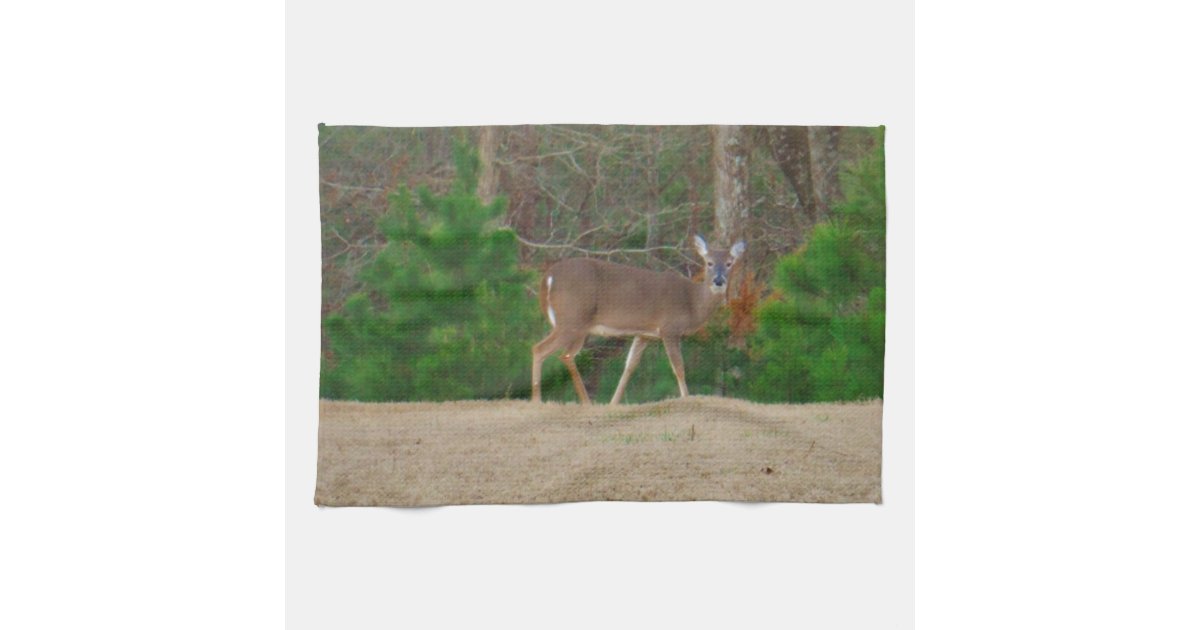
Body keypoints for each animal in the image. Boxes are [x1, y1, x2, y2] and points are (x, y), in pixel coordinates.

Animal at [531, 234, 746, 405]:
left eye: (729, 263)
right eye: (709, 262)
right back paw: (540, 400)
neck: (692, 303)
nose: (718, 281)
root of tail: (548, 277)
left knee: (564, 355)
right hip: (573, 319)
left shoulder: (644, 334)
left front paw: (613, 403)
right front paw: (686, 398)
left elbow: (629, 367)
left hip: (576, 325)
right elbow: (679, 367)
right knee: (542, 349)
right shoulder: (669, 328)